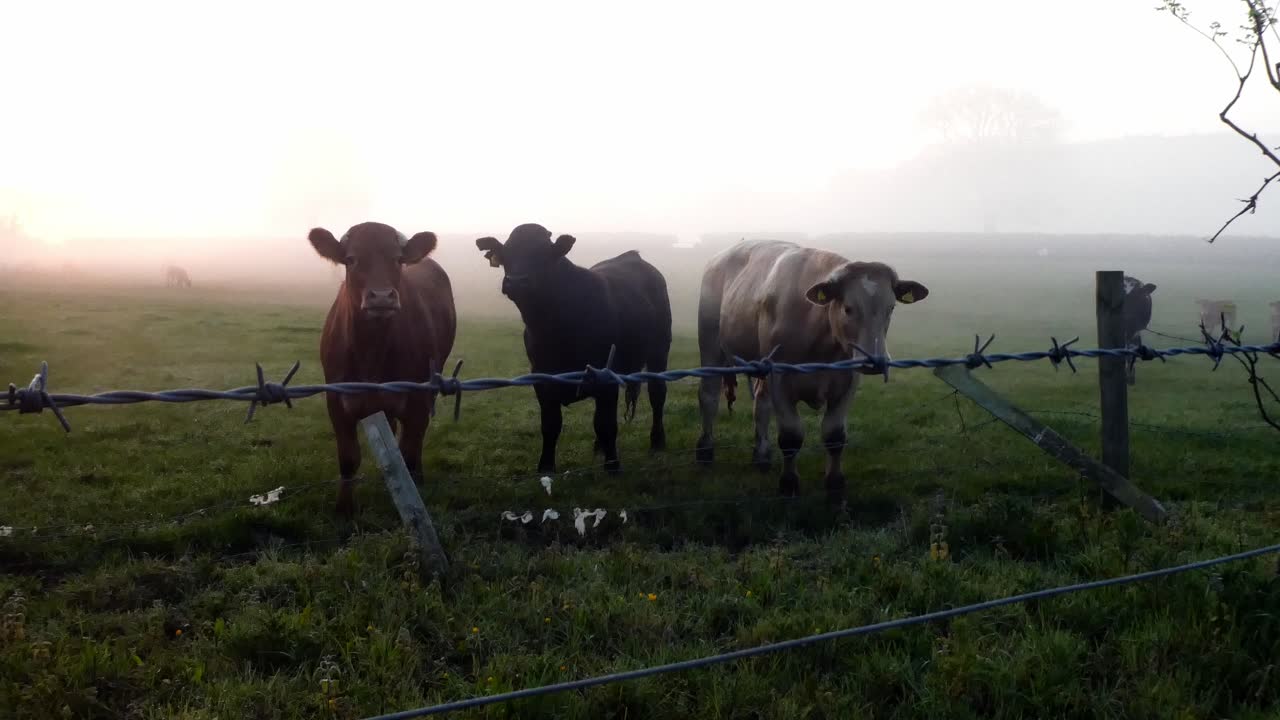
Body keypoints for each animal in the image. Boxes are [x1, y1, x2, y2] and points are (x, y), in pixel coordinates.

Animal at [309, 222, 457, 515]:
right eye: (351, 259)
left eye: (397, 259)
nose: (381, 297)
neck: (371, 353)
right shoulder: (337, 401)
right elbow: (348, 459)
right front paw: (344, 509)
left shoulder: (417, 399)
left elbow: (409, 453)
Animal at [475, 223, 672, 474]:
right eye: (507, 253)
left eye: (544, 254)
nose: (516, 281)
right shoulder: (541, 376)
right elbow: (551, 424)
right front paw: (545, 467)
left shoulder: (605, 374)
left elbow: (606, 423)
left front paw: (612, 466)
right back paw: (599, 447)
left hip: (660, 349)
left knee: (657, 393)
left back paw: (657, 442)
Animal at [695, 240, 928, 503]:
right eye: (848, 308)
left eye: (891, 308)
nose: (875, 361)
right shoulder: (780, 378)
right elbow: (791, 437)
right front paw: (789, 484)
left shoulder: (847, 382)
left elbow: (835, 436)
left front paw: (835, 485)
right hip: (711, 344)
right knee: (709, 397)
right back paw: (705, 451)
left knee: (761, 405)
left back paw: (761, 455)